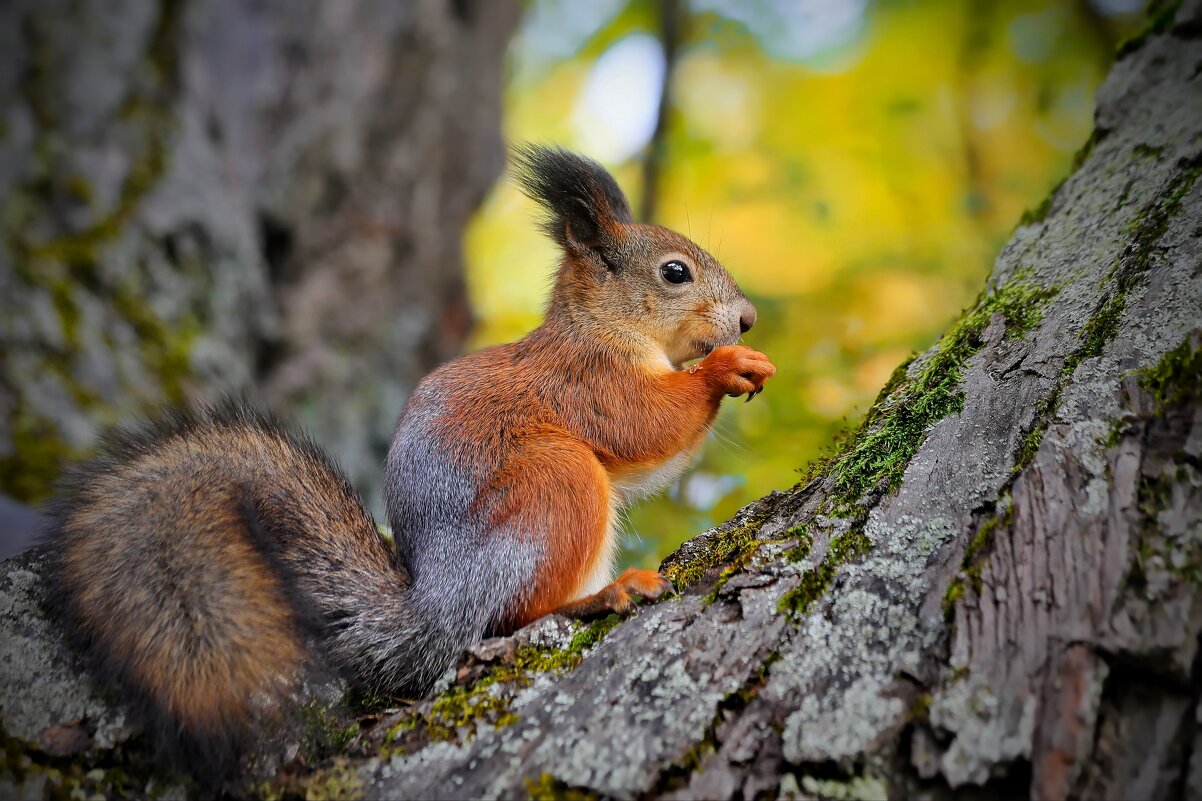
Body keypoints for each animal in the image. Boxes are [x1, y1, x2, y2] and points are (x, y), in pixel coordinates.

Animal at [39, 144, 778, 779]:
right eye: (674, 272)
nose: (747, 319)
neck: (601, 327)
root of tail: (440, 600)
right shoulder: (586, 381)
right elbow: (645, 423)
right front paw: (727, 367)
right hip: (555, 484)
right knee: (512, 616)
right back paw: (601, 594)